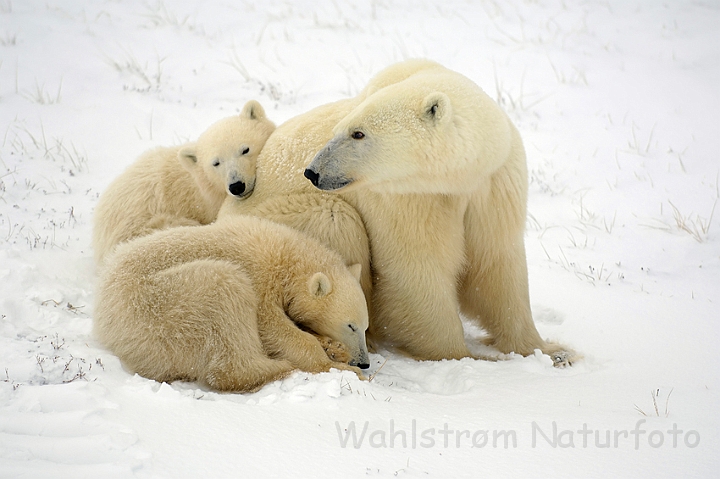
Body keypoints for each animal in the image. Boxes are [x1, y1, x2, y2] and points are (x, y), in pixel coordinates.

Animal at [219, 60, 572, 368]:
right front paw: (465, 356)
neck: (457, 178)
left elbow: (496, 263)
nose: (312, 172)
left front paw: (552, 351)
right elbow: (417, 269)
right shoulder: (405, 196)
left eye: (357, 133)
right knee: (338, 220)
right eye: (341, 129)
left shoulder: (493, 185)